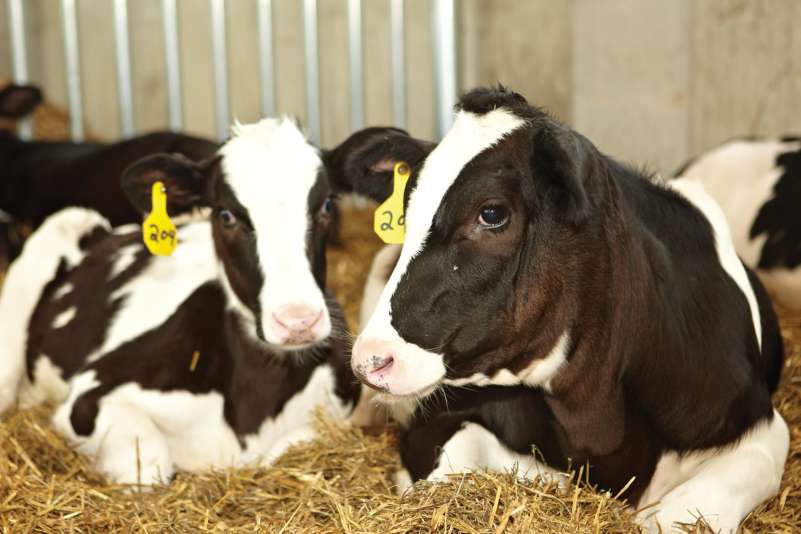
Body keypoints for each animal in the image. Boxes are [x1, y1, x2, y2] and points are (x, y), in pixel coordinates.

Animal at [0, 119, 410, 488]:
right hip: (63, 227)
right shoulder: (89, 397)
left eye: (326, 205)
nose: (298, 321)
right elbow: (147, 467)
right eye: (226, 214)